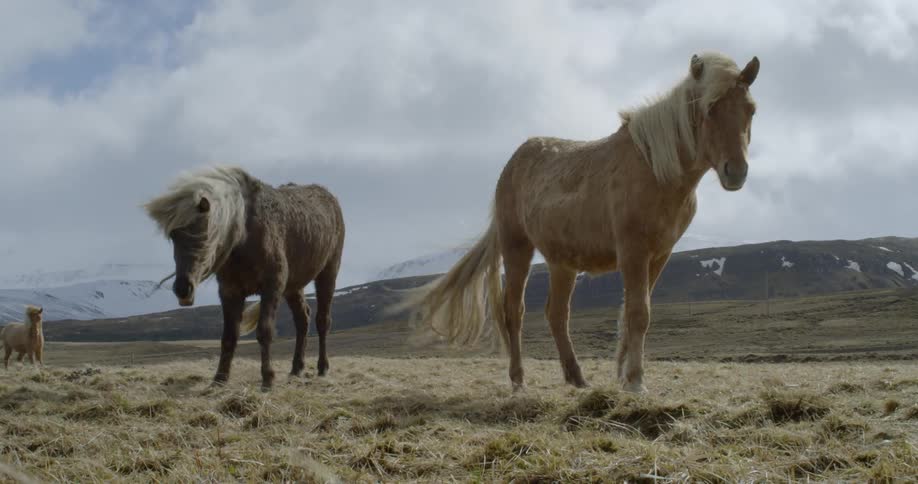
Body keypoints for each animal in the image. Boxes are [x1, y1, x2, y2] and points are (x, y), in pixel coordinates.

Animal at [144, 166, 345, 389]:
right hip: (294, 286)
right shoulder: (229, 291)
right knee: (302, 319)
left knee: (322, 320)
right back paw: (296, 369)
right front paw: (219, 379)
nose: (182, 289)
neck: (244, 237)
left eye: (205, 231)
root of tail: (330, 197)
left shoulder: (272, 287)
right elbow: (229, 336)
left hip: (328, 273)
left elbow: (264, 332)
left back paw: (322, 367)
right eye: (173, 235)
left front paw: (268, 378)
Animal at [399, 52, 760, 393]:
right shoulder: (633, 252)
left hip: (563, 263)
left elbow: (634, 314)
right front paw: (635, 381)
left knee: (557, 315)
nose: (736, 172)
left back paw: (576, 378)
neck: (655, 170)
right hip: (517, 248)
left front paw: (624, 375)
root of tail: (513, 163)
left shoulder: (659, 255)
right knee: (514, 311)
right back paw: (518, 380)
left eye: (751, 110)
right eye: (710, 107)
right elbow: (638, 313)